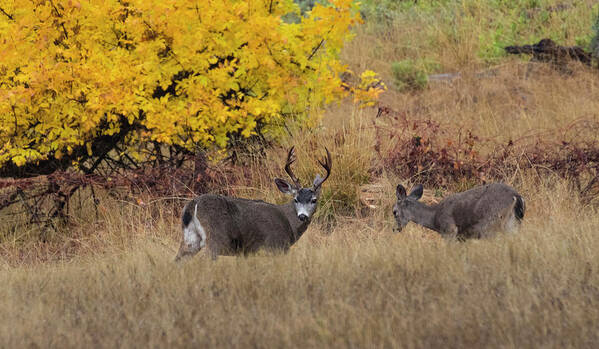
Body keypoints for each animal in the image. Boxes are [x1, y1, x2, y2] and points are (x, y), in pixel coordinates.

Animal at [173, 145, 332, 260]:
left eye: (314, 200)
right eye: (296, 199)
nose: (302, 216)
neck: (289, 223)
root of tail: (192, 205)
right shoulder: (276, 245)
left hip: (190, 238)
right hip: (216, 238)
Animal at [396, 181, 528, 238]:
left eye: (394, 212)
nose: (395, 229)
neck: (434, 218)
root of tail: (517, 197)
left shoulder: (449, 231)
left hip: (492, 225)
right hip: (513, 224)